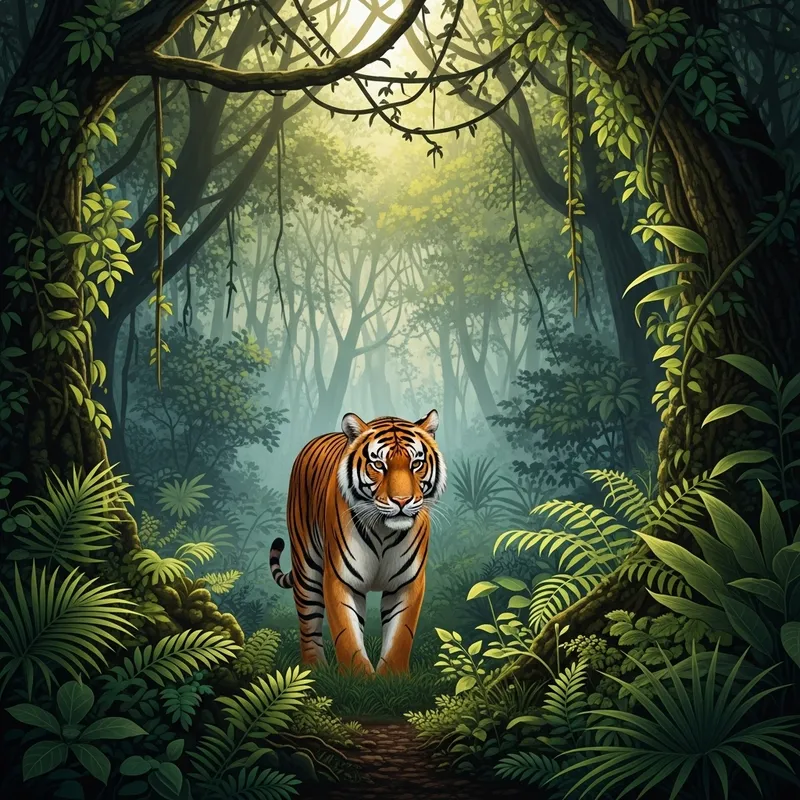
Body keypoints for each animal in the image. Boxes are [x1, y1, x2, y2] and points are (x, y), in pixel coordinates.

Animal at [270, 410, 446, 675]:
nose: (402, 501)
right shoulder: (340, 579)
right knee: (309, 622)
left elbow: (400, 635)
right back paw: (314, 669)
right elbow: (347, 635)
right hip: (306, 566)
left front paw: (392, 677)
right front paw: (359, 677)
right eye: (378, 465)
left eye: (416, 464)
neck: (384, 530)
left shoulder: (407, 582)